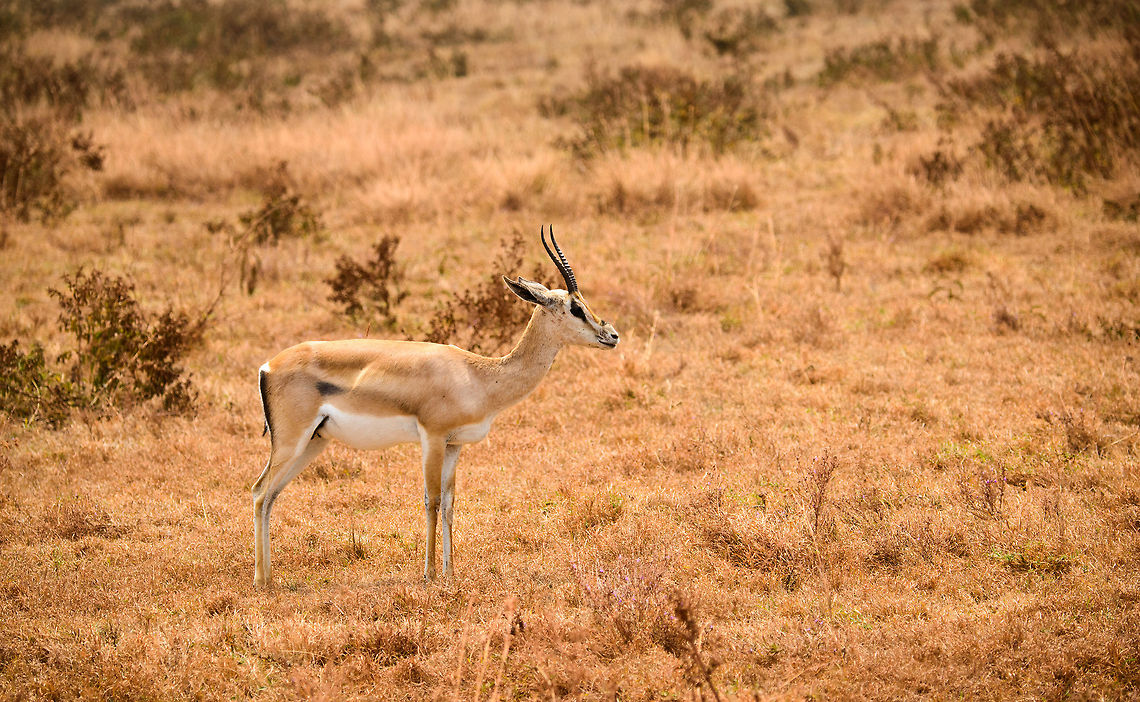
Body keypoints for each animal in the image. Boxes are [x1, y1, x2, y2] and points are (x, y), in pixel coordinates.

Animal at [252, 227, 619, 586]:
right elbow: (432, 499)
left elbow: (449, 503)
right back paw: (261, 581)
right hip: (291, 442)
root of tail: (267, 366)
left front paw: (450, 572)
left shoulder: (455, 445)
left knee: (271, 496)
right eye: (575, 308)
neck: (479, 375)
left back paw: (269, 577)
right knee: (259, 492)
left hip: (313, 443)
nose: (612, 335)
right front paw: (429, 573)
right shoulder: (432, 437)